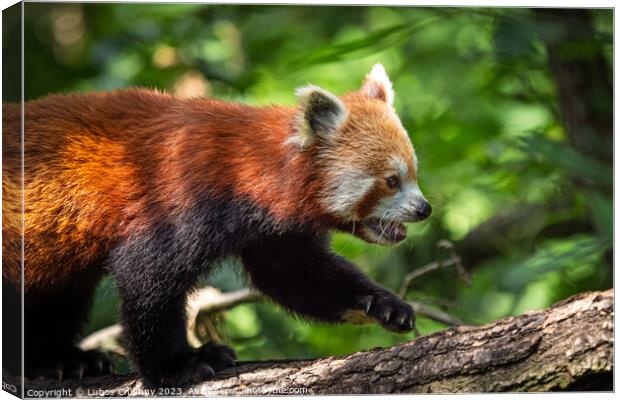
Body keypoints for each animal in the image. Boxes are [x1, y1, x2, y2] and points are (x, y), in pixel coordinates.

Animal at [2, 64, 432, 386]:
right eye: (391, 181)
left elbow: (296, 275)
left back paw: (62, 360)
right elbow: (147, 278)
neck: (246, 167)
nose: (424, 209)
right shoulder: (179, 197)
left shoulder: (272, 231)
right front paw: (176, 366)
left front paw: (382, 305)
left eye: (413, 174)